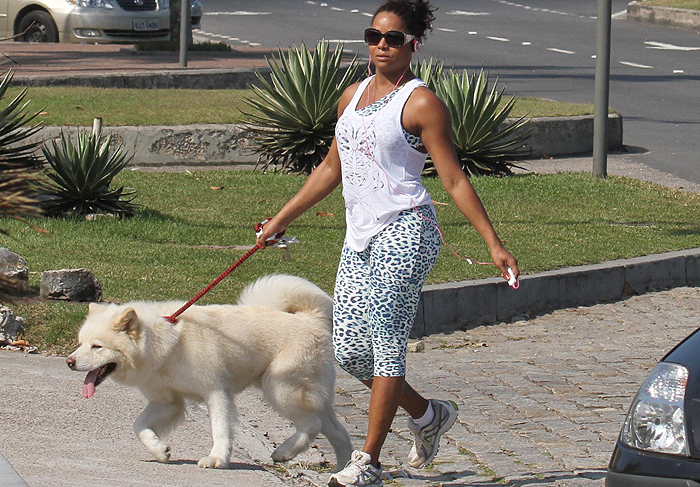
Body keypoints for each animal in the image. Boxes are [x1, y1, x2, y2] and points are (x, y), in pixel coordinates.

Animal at [66, 274, 352, 468]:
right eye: (80, 343)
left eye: (97, 347)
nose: (69, 362)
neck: (167, 345)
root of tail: (310, 319)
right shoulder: (167, 402)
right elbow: (139, 426)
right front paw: (160, 451)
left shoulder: (216, 393)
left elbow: (220, 428)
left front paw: (217, 459)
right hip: (311, 397)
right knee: (338, 433)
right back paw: (341, 469)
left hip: (280, 389)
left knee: (311, 424)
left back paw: (284, 451)